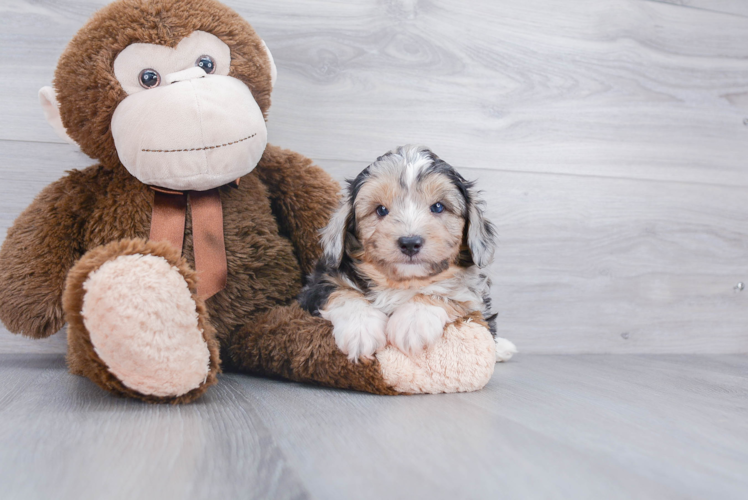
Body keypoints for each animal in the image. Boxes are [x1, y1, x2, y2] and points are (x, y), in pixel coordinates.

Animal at [298, 146, 516, 362]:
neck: (402, 283)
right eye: (381, 210)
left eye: (438, 207)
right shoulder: (316, 286)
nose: (410, 243)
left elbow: (446, 290)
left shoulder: (471, 292)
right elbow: (342, 291)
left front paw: (413, 322)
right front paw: (360, 329)